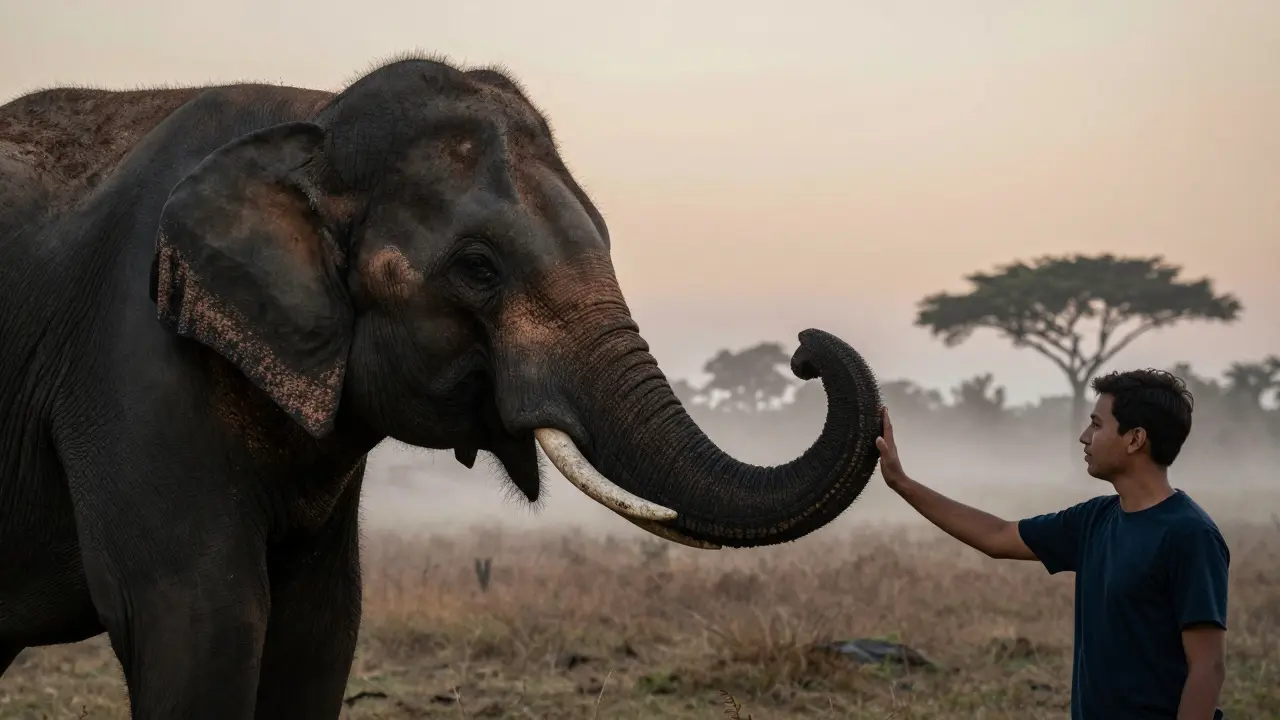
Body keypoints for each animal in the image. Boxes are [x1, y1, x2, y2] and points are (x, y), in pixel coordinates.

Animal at [0, 55, 882, 718]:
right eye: (478, 268)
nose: (806, 351)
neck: (312, 124)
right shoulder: (133, 354)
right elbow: (199, 619)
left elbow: (320, 626)